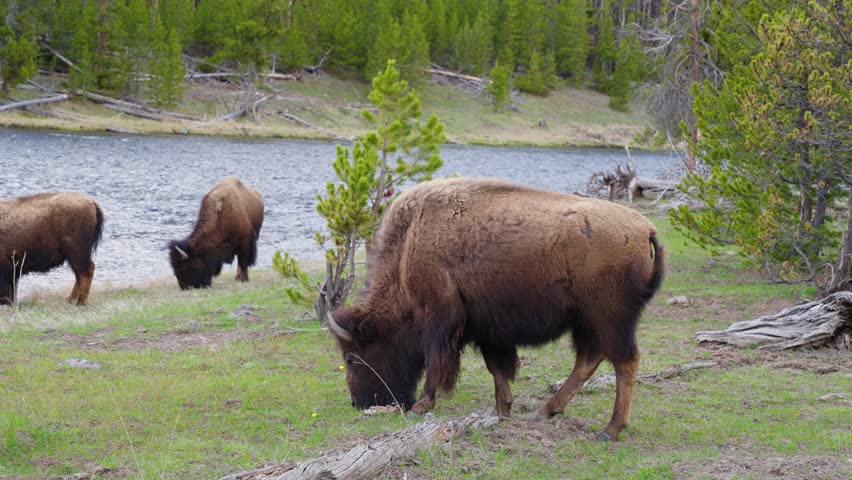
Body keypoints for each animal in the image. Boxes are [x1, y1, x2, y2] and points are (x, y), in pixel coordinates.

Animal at [328, 178, 664, 441]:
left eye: (351, 357)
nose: (359, 403)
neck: (411, 240)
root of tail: (645, 229)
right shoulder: (486, 328)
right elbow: (497, 368)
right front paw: (502, 409)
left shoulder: (440, 318)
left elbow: (437, 362)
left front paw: (422, 406)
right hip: (586, 321)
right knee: (589, 360)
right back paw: (546, 411)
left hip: (609, 319)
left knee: (624, 362)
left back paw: (610, 430)